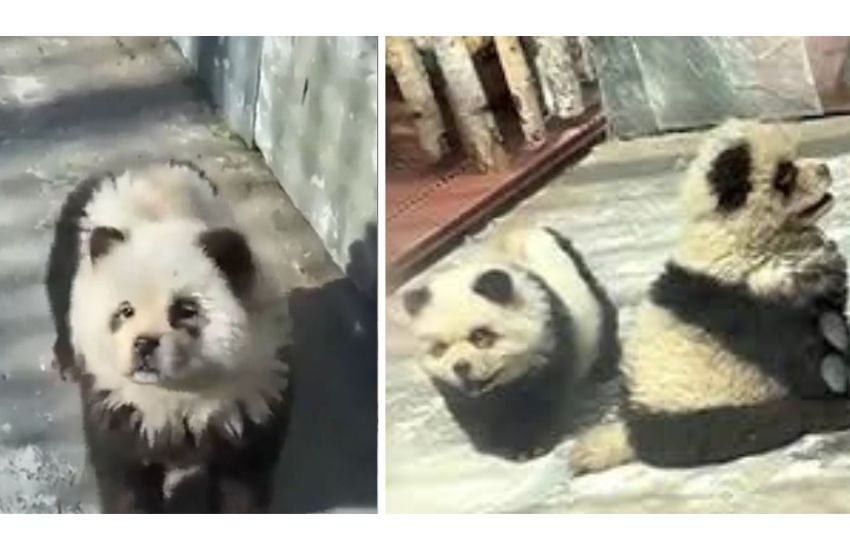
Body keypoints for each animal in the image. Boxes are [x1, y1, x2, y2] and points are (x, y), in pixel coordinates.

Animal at [45, 161, 292, 512]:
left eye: (185, 310)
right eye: (124, 310)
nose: (144, 345)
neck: (178, 395)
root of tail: (139, 165)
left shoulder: (251, 393)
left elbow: (243, 480)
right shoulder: (119, 402)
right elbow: (124, 478)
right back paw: (66, 362)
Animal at [401, 226, 620, 460]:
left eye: (480, 336)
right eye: (440, 347)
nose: (461, 367)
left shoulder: (549, 342)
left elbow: (540, 399)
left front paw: (529, 446)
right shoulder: (454, 385)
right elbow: (470, 408)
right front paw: (495, 443)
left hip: (583, 283)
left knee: (603, 315)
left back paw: (604, 370)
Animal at [569, 119, 850, 475]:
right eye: (784, 175)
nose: (824, 168)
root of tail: (633, 434)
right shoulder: (751, 303)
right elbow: (802, 360)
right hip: (706, 411)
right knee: (772, 420)